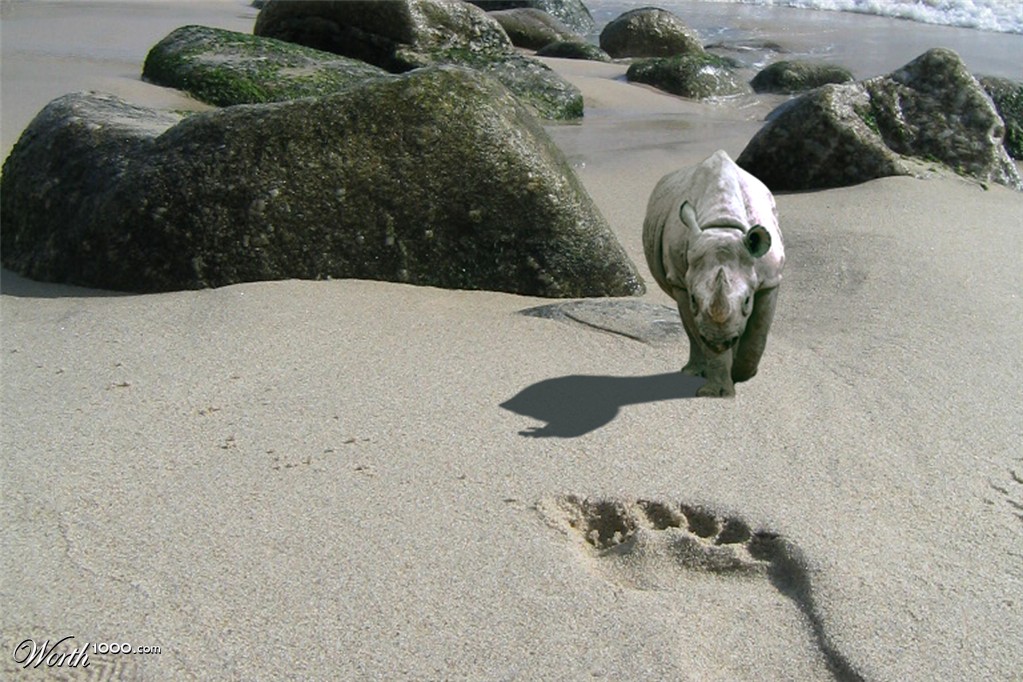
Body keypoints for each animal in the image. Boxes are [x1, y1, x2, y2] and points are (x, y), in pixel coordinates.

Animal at [643, 150, 785, 397]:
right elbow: (697, 329)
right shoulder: (680, 281)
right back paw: (692, 372)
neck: (723, 227)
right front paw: (717, 391)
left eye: (747, 301)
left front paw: (742, 373)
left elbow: (757, 333)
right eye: (694, 299)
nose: (720, 341)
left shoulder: (770, 279)